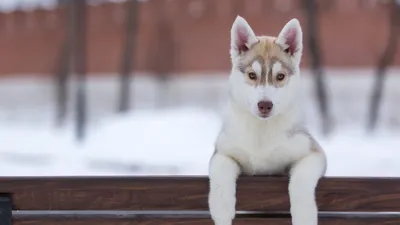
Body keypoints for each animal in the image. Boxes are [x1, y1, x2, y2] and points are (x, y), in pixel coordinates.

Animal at [208, 15, 326, 225]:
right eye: (252, 75)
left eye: (280, 76)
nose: (265, 105)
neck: (261, 131)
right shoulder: (223, 151)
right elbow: (221, 169)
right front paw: (221, 210)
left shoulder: (313, 153)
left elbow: (301, 179)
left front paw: (304, 216)